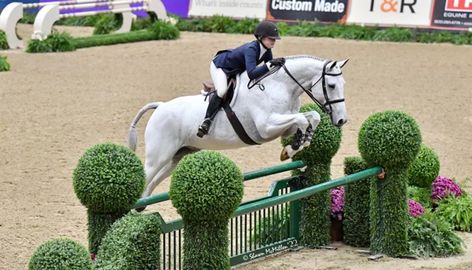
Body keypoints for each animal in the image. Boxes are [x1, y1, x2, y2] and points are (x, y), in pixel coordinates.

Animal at [127, 55, 348, 198]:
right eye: (331, 86)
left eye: (343, 84)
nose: (341, 121)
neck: (280, 86)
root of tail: (160, 106)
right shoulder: (266, 127)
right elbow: (302, 120)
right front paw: (291, 149)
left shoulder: (286, 124)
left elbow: (311, 117)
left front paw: (296, 146)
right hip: (158, 156)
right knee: (146, 175)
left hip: (177, 156)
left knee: (151, 183)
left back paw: (141, 206)